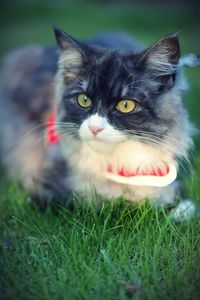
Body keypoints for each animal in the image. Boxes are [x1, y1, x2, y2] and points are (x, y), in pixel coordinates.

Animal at [0, 27, 198, 216]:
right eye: (84, 100)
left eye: (126, 105)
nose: (94, 128)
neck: (118, 165)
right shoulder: (46, 187)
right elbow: (112, 208)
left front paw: (179, 208)